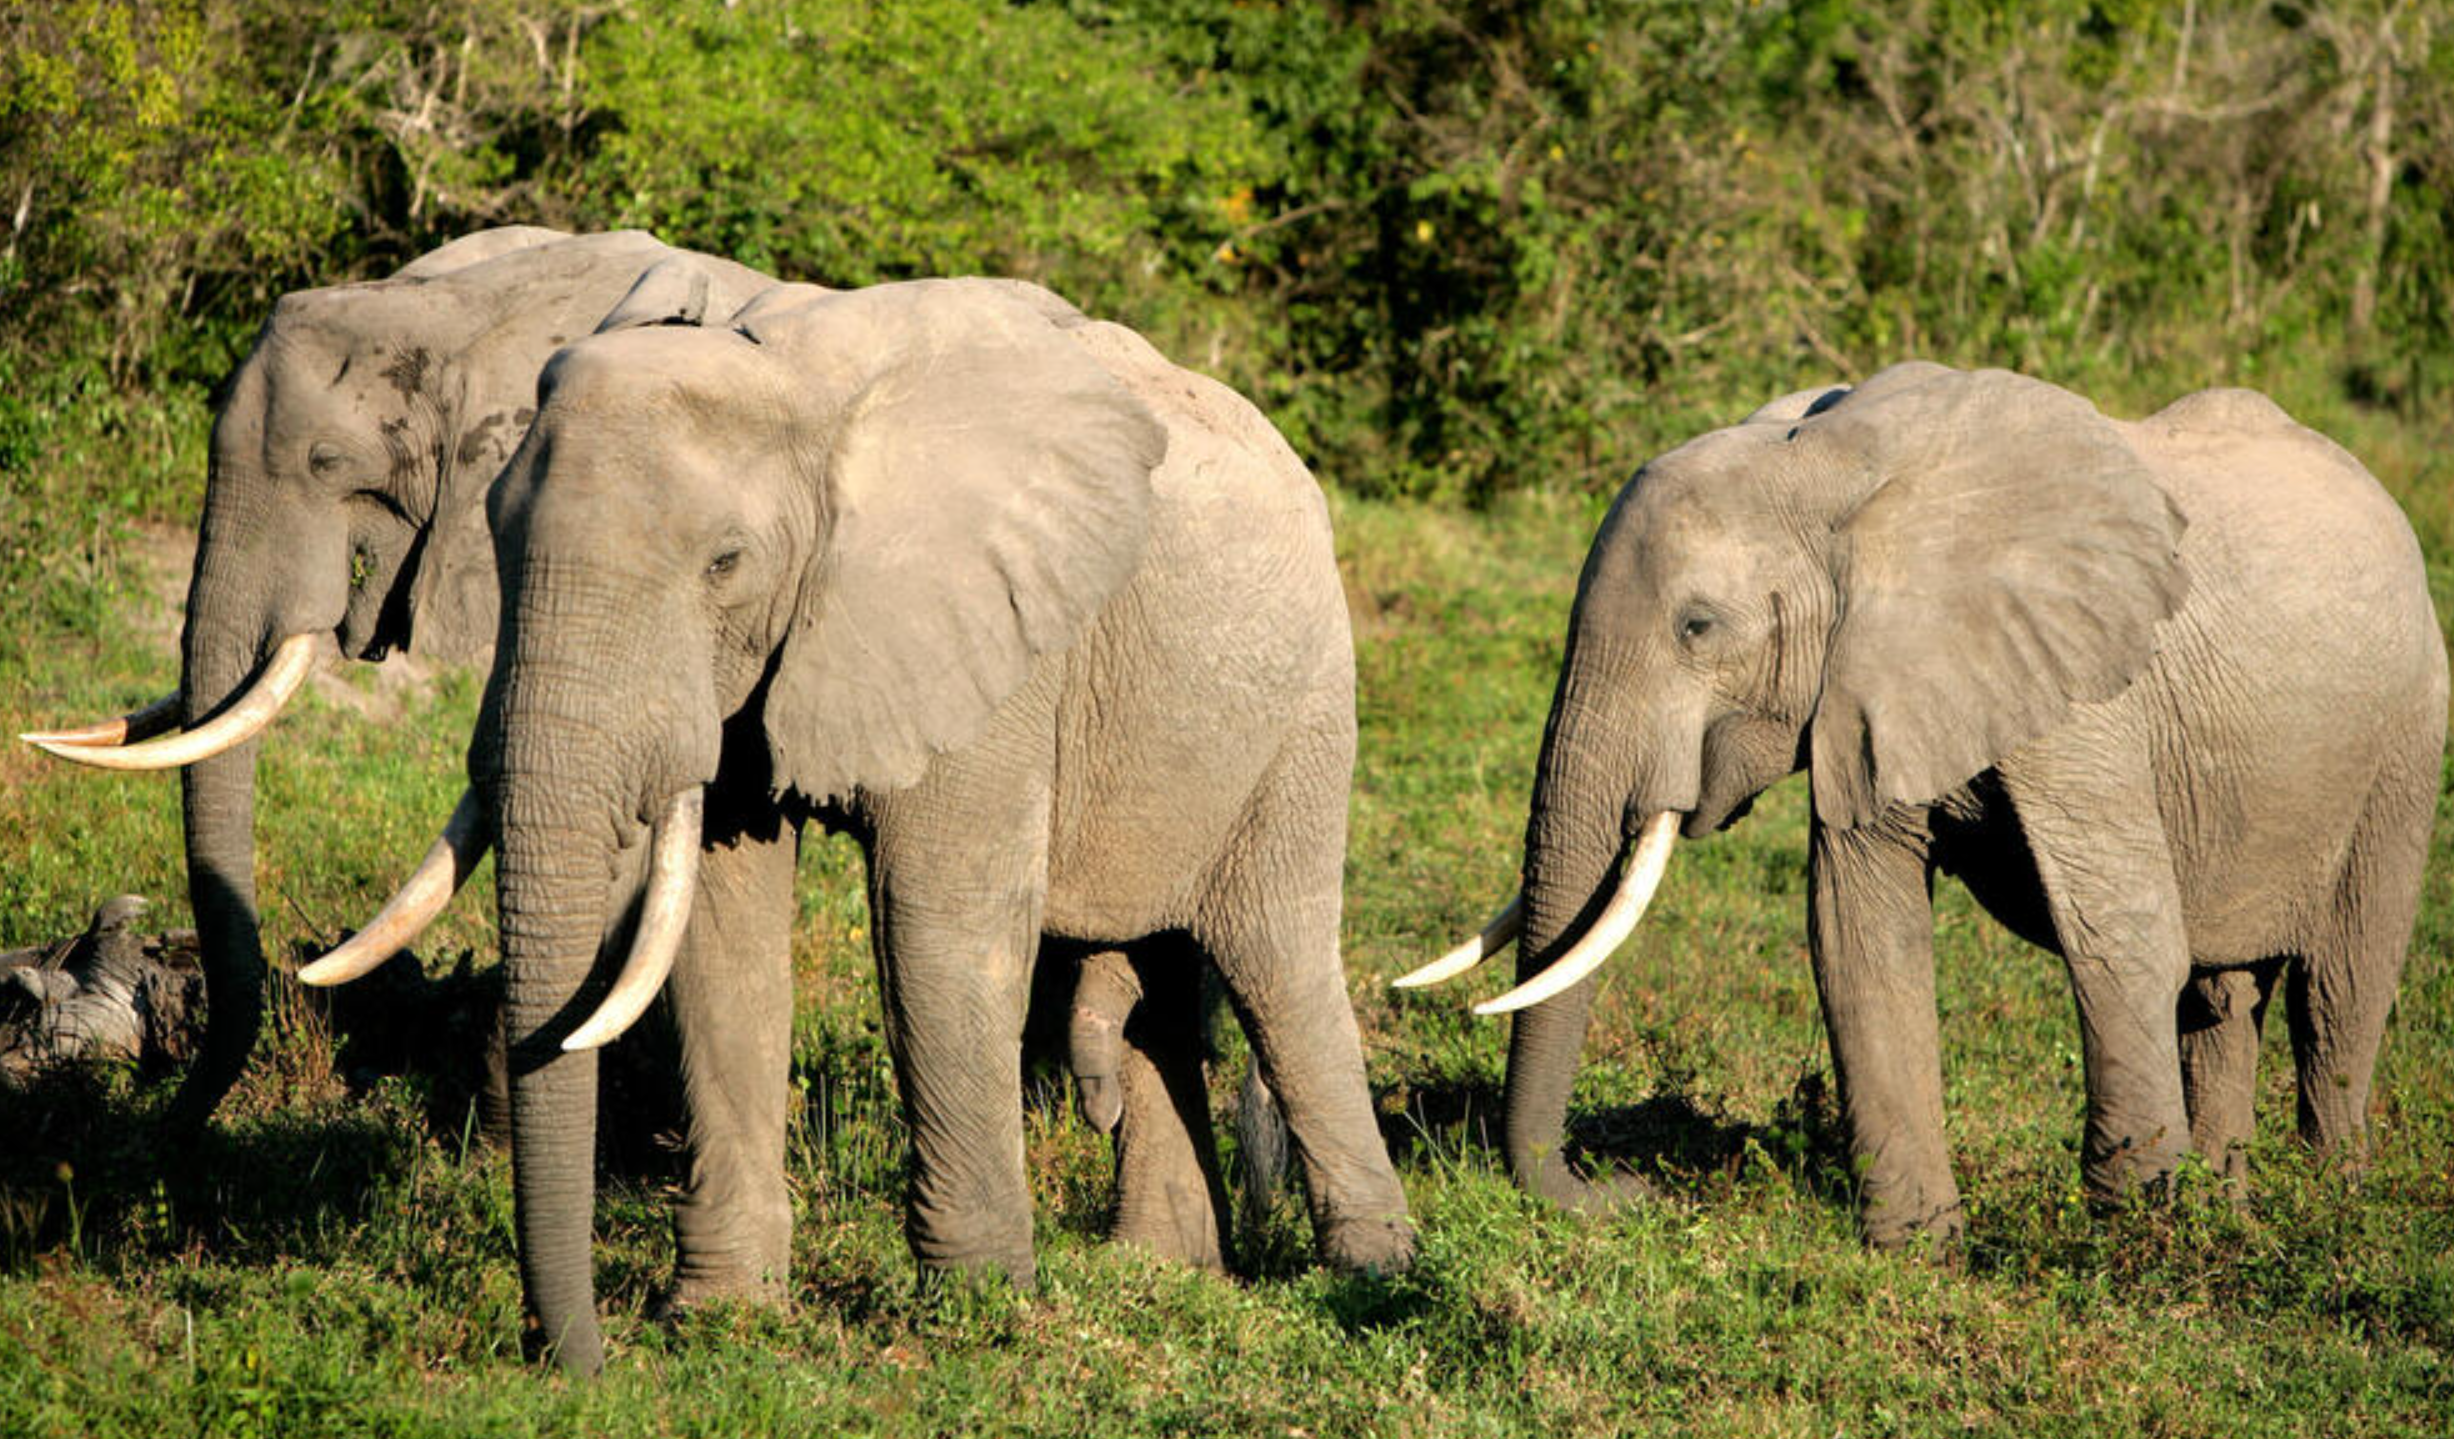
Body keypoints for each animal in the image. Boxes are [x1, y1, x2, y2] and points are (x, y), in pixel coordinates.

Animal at [350, 271, 1423, 1365]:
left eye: (725, 562)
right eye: (495, 534)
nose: (575, 1361)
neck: (795, 388)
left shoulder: (988, 631)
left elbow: (937, 924)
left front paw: (980, 1316)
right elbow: (723, 935)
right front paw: (721, 1315)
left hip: (1304, 706)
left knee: (1275, 960)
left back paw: (1376, 1274)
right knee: (1163, 973)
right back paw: (1163, 1268)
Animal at [1413, 360, 2444, 1242]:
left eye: (1696, 627)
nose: (1626, 1188)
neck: (1835, 471)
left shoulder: (2085, 696)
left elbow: (2123, 933)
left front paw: (2129, 1244)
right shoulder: (1867, 681)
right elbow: (1858, 934)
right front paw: (1918, 1251)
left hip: (2406, 746)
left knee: (2339, 990)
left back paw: (2323, 1204)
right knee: (2222, 1000)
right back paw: (2230, 1212)